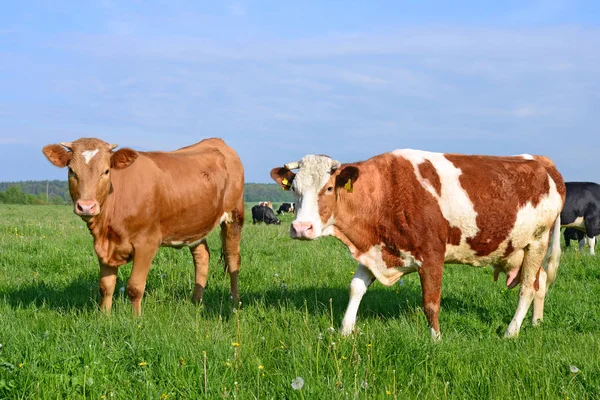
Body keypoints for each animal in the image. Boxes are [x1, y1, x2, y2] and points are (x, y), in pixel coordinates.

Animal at [42, 138, 245, 316]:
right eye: (71, 171)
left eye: (106, 171)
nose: (86, 206)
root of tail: (217, 141)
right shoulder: (103, 245)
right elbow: (106, 286)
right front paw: (104, 317)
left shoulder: (147, 243)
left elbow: (135, 287)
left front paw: (135, 320)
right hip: (195, 223)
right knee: (202, 256)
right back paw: (196, 301)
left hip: (234, 216)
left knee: (232, 257)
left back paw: (234, 301)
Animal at [270, 152, 564, 340]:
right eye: (294, 188)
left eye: (329, 188)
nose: (301, 228)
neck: (385, 193)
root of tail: (542, 161)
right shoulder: (375, 251)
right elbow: (355, 288)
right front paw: (345, 330)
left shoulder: (432, 254)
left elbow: (430, 302)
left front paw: (436, 339)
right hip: (519, 249)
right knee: (539, 282)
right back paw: (536, 324)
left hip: (538, 241)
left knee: (527, 289)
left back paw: (511, 332)